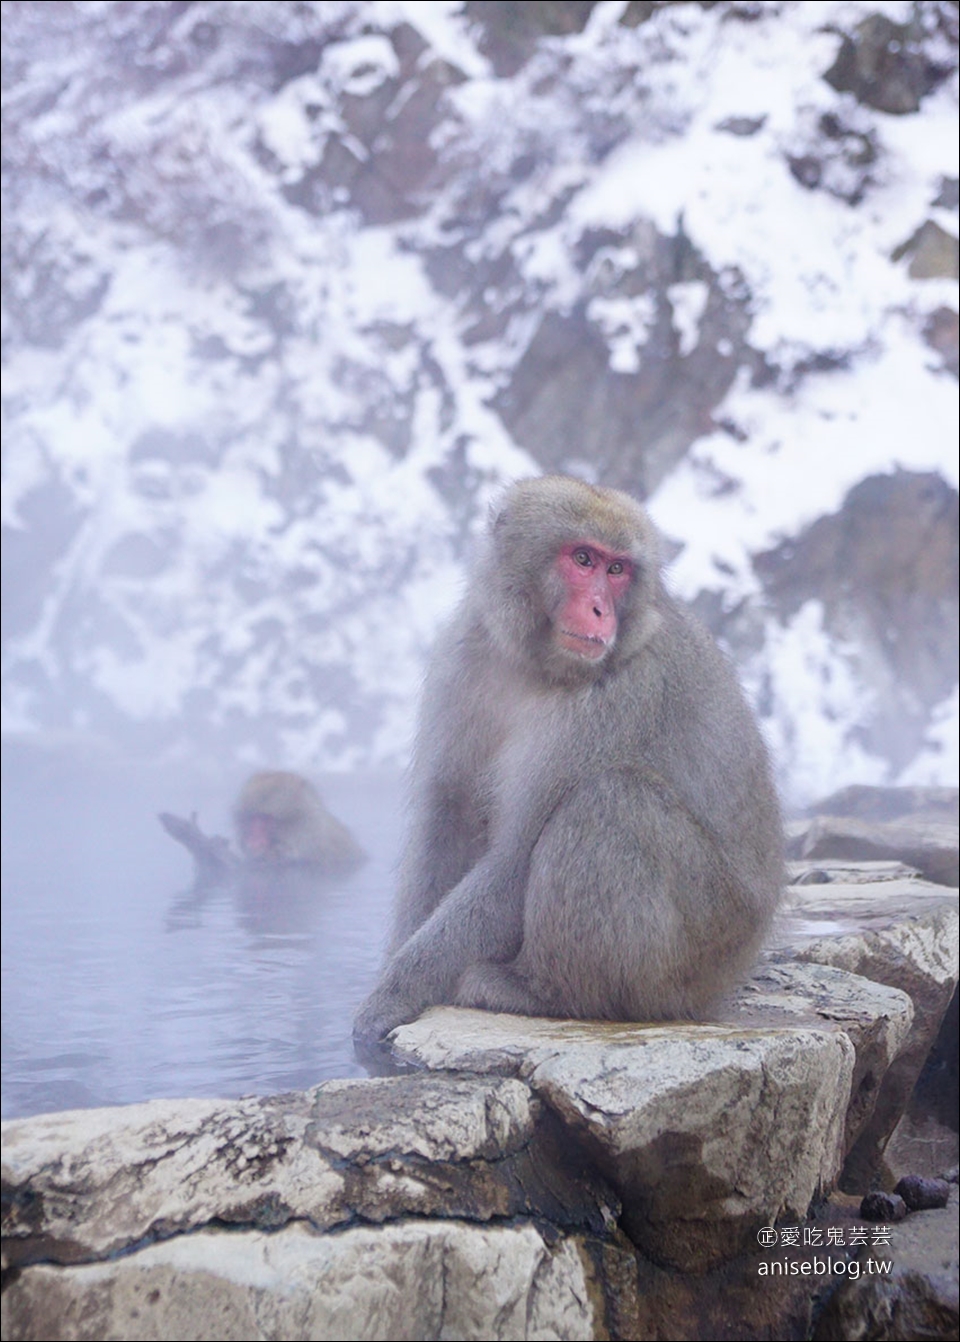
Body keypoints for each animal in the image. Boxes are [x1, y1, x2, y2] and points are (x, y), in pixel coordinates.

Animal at [351, 477, 778, 1052]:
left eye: (617, 570)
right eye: (583, 559)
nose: (600, 611)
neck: (537, 667)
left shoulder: (618, 697)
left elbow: (513, 861)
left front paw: (393, 992)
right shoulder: (464, 656)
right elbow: (450, 816)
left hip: (702, 944)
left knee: (611, 801)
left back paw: (542, 992)